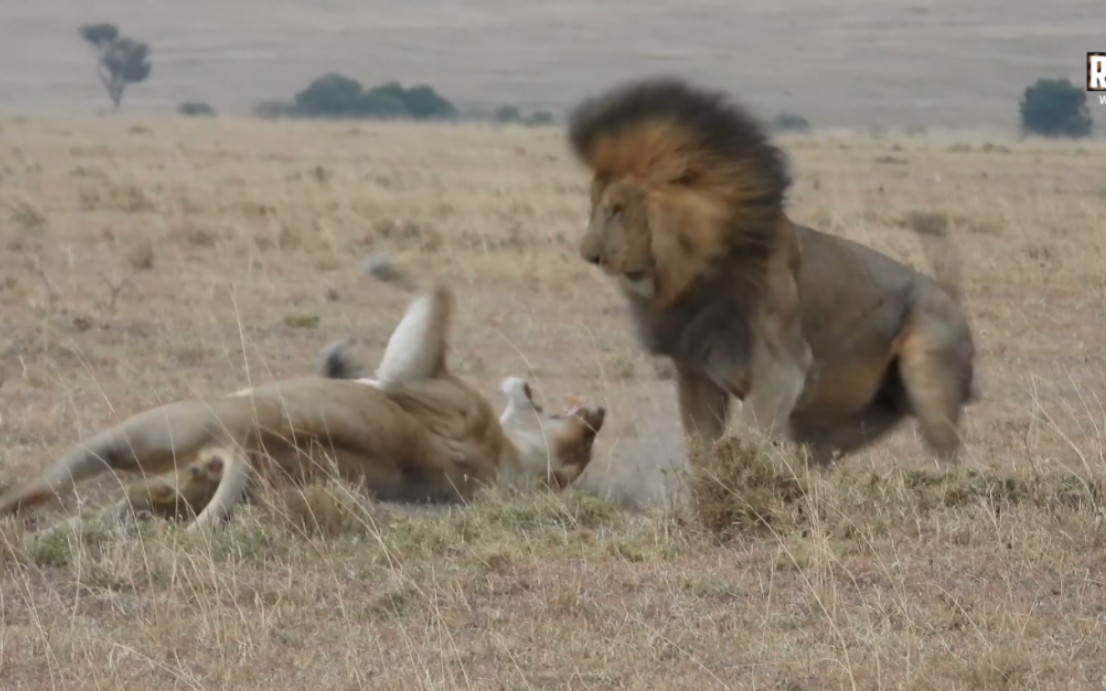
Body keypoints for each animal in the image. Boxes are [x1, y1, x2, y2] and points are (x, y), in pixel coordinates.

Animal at [0, 266, 606, 526]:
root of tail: (246, 446)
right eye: (585, 442)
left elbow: (440, 286)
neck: (507, 455)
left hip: (130, 436)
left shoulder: (417, 378)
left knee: (40, 490)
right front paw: (338, 356)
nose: (599, 410)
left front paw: (386, 263)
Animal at [570, 75, 977, 464]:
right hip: (850, 419)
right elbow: (701, 447)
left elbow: (749, 433)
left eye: (618, 209)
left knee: (950, 454)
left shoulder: (782, 368)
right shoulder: (695, 371)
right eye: (593, 206)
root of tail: (950, 297)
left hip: (929, 379)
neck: (696, 276)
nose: (589, 255)